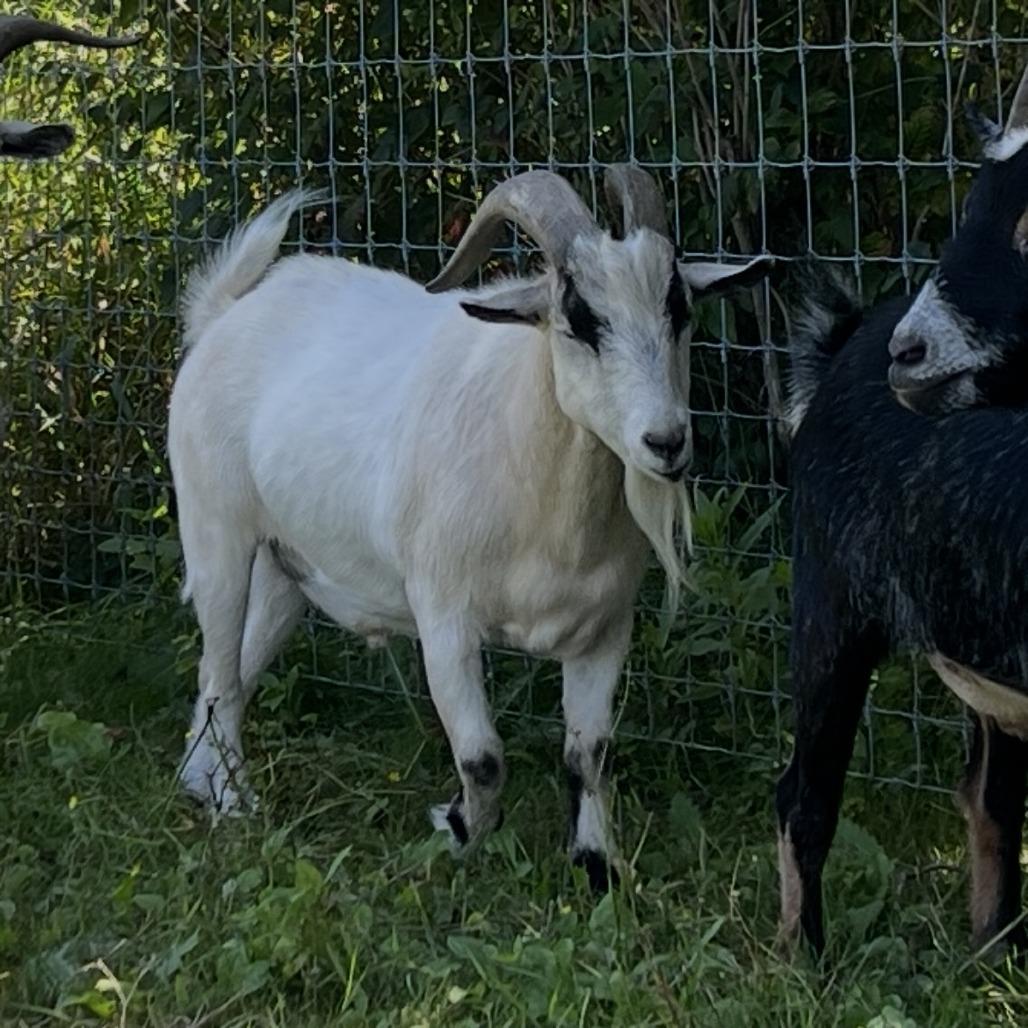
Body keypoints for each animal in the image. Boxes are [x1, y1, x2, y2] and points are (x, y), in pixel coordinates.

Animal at [169, 166, 770, 886]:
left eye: (679, 309)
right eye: (578, 319)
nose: (667, 442)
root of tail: (223, 314)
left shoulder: (605, 628)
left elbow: (589, 751)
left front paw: (597, 863)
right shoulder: (444, 618)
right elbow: (482, 754)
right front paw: (458, 832)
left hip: (287, 569)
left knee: (229, 677)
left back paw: (203, 785)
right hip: (217, 535)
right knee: (220, 670)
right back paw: (233, 803)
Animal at [777, 65, 1028, 955]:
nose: (911, 353)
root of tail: (845, 343)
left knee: (989, 798)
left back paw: (994, 949)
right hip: (829, 601)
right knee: (802, 795)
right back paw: (802, 956)